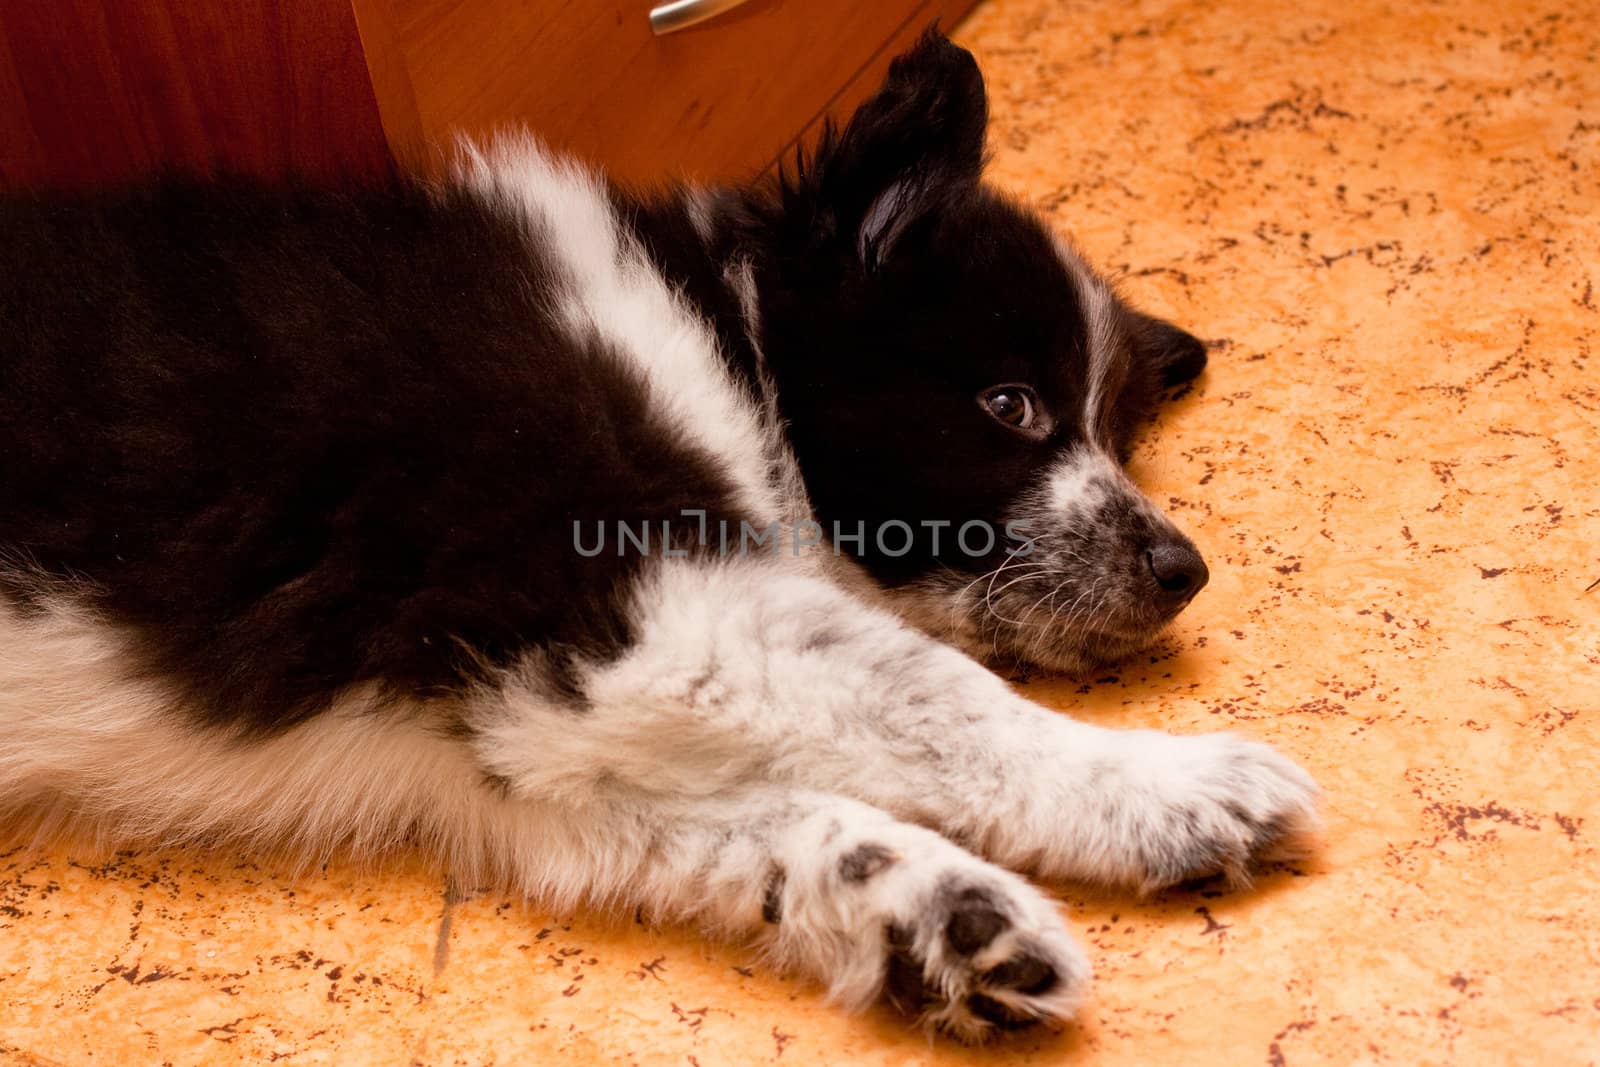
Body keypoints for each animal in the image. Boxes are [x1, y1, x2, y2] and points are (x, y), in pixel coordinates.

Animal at [0, 33, 1312, 1043]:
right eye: (1010, 406)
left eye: (1110, 431)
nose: (1182, 571)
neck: (716, 339)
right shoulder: (612, 605)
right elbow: (937, 693)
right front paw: (1174, 786)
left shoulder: (512, 746)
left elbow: (774, 821)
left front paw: (943, 922)